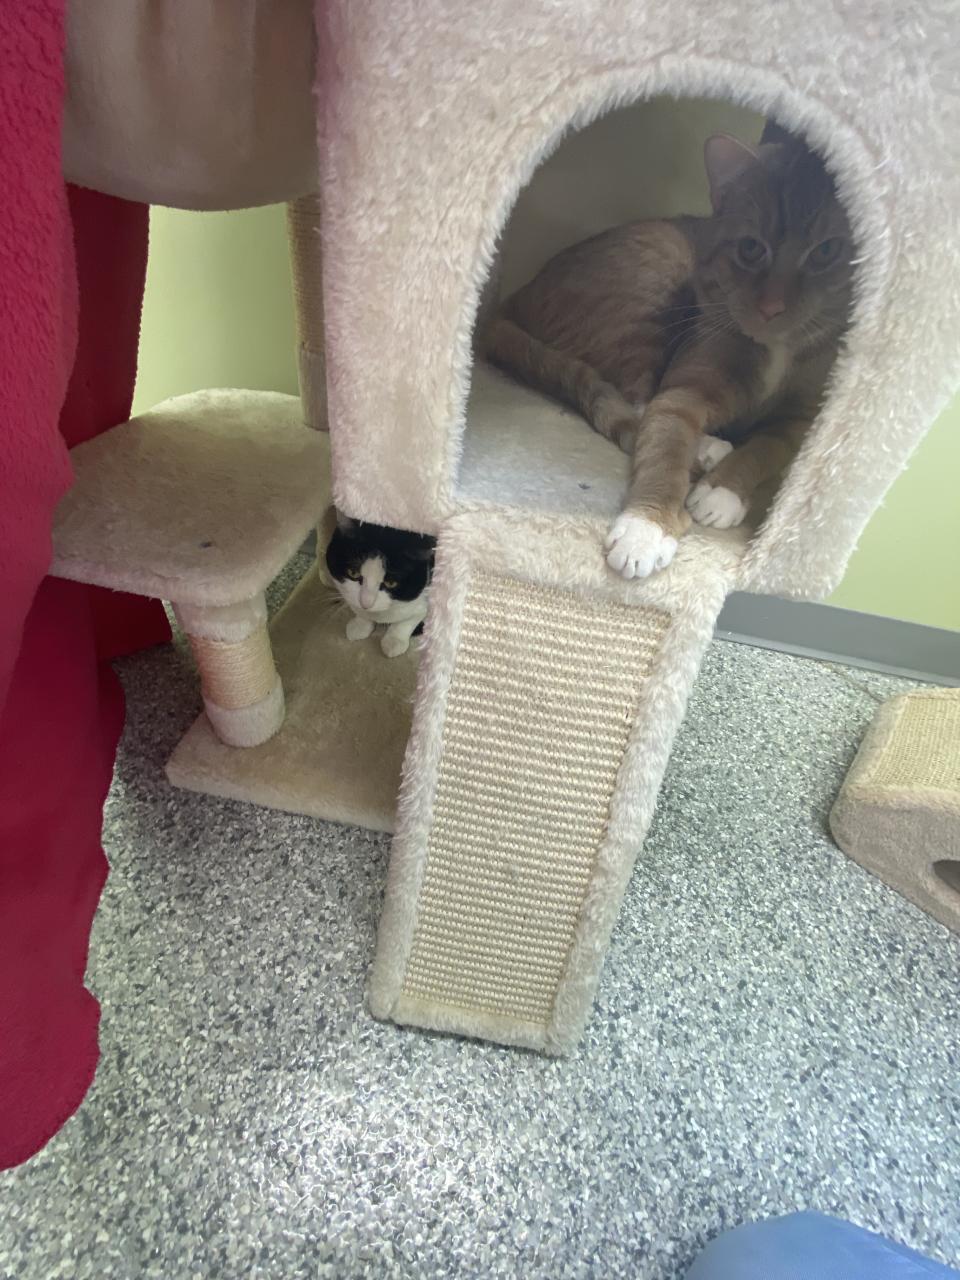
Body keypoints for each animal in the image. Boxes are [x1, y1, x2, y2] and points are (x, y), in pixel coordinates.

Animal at [325, 514, 436, 657]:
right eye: (353, 573)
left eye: (391, 583)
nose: (366, 603)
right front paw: (360, 625)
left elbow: (410, 619)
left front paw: (394, 641)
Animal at [484, 127, 854, 579]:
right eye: (751, 248)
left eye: (826, 252)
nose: (772, 306)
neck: (775, 348)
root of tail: (518, 295)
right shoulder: (686, 389)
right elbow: (663, 443)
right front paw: (647, 529)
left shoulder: (803, 420)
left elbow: (768, 447)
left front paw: (723, 491)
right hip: (653, 284)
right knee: (637, 404)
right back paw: (707, 448)